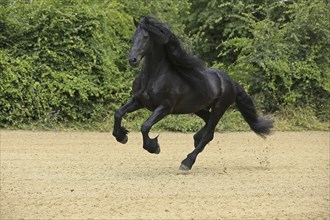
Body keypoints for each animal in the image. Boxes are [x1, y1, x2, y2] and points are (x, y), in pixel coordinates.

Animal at [112, 16, 272, 171]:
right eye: (133, 37)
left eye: (145, 37)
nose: (132, 60)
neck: (153, 77)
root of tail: (231, 81)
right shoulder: (139, 101)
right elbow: (118, 113)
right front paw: (121, 136)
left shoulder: (164, 108)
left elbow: (145, 126)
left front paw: (154, 147)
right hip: (198, 108)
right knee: (207, 124)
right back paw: (196, 138)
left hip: (219, 108)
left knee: (209, 134)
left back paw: (187, 163)